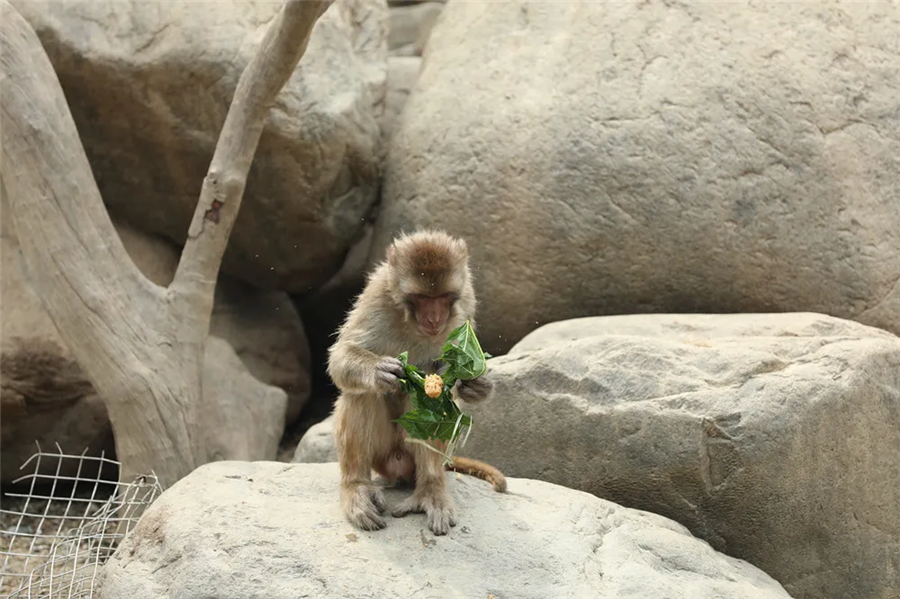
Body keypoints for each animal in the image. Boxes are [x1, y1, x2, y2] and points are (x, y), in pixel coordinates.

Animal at [326, 229, 506, 536]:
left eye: (443, 296)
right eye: (421, 298)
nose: (434, 318)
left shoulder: (467, 298)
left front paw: (476, 386)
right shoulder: (377, 295)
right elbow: (341, 357)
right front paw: (378, 370)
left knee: (433, 405)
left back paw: (430, 488)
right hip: (382, 455)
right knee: (361, 394)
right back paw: (357, 487)